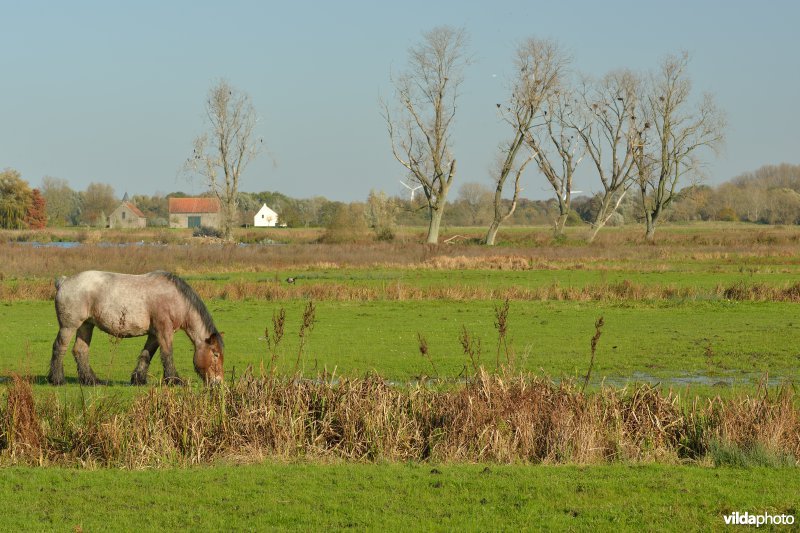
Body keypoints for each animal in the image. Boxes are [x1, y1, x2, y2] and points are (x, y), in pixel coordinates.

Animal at [48, 272, 223, 384]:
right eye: (215, 354)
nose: (218, 382)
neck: (176, 298)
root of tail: (64, 281)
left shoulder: (154, 334)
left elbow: (146, 355)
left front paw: (139, 379)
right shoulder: (164, 332)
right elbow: (167, 355)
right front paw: (174, 380)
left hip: (86, 326)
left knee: (80, 350)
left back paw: (91, 380)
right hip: (69, 327)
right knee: (59, 348)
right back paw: (57, 379)